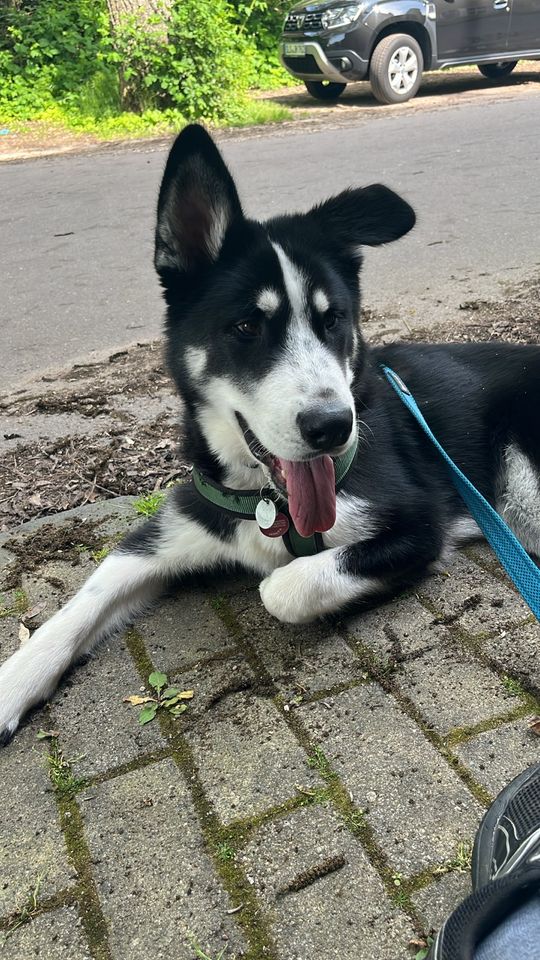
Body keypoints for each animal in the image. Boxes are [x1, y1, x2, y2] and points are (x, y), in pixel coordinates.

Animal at [1, 125, 540, 744]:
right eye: (245, 327)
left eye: (334, 320)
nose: (334, 427)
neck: (267, 499)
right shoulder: (170, 529)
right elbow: (79, 603)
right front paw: (13, 683)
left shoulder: (418, 525)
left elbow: (280, 587)